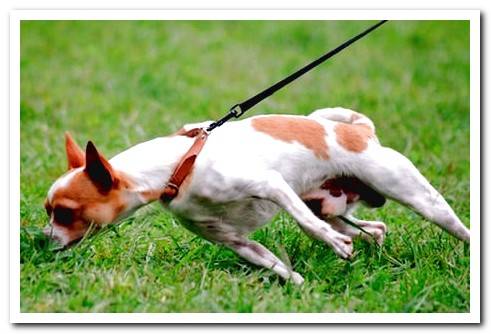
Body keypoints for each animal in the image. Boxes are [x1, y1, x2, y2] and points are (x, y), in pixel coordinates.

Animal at [44, 107, 470, 284]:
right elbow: (275, 265)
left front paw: (331, 245)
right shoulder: (236, 241)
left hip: (417, 198)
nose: (39, 240)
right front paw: (299, 286)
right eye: (48, 212)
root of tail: (362, 131)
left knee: (455, 226)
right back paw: (372, 246)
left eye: (64, 213)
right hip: (330, 205)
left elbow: (305, 225)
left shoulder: (272, 186)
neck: (180, 164)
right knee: (372, 227)